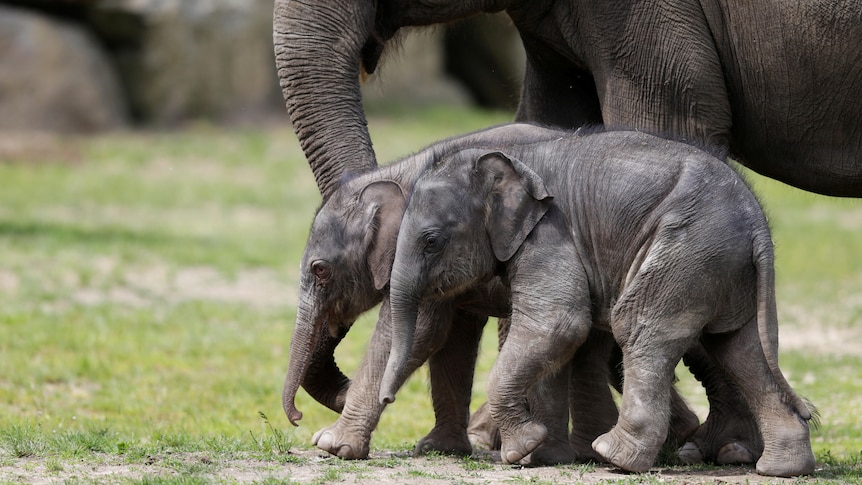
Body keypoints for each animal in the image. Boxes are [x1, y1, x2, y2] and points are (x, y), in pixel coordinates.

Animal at [382, 130, 820, 476]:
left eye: (432, 241)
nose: (388, 399)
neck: (512, 156)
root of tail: (757, 226)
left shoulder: (550, 234)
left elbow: (559, 322)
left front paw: (523, 449)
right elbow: (561, 339)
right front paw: (541, 454)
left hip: (687, 254)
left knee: (640, 331)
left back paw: (614, 457)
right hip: (723, 269)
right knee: (740, 348)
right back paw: (782, 469)